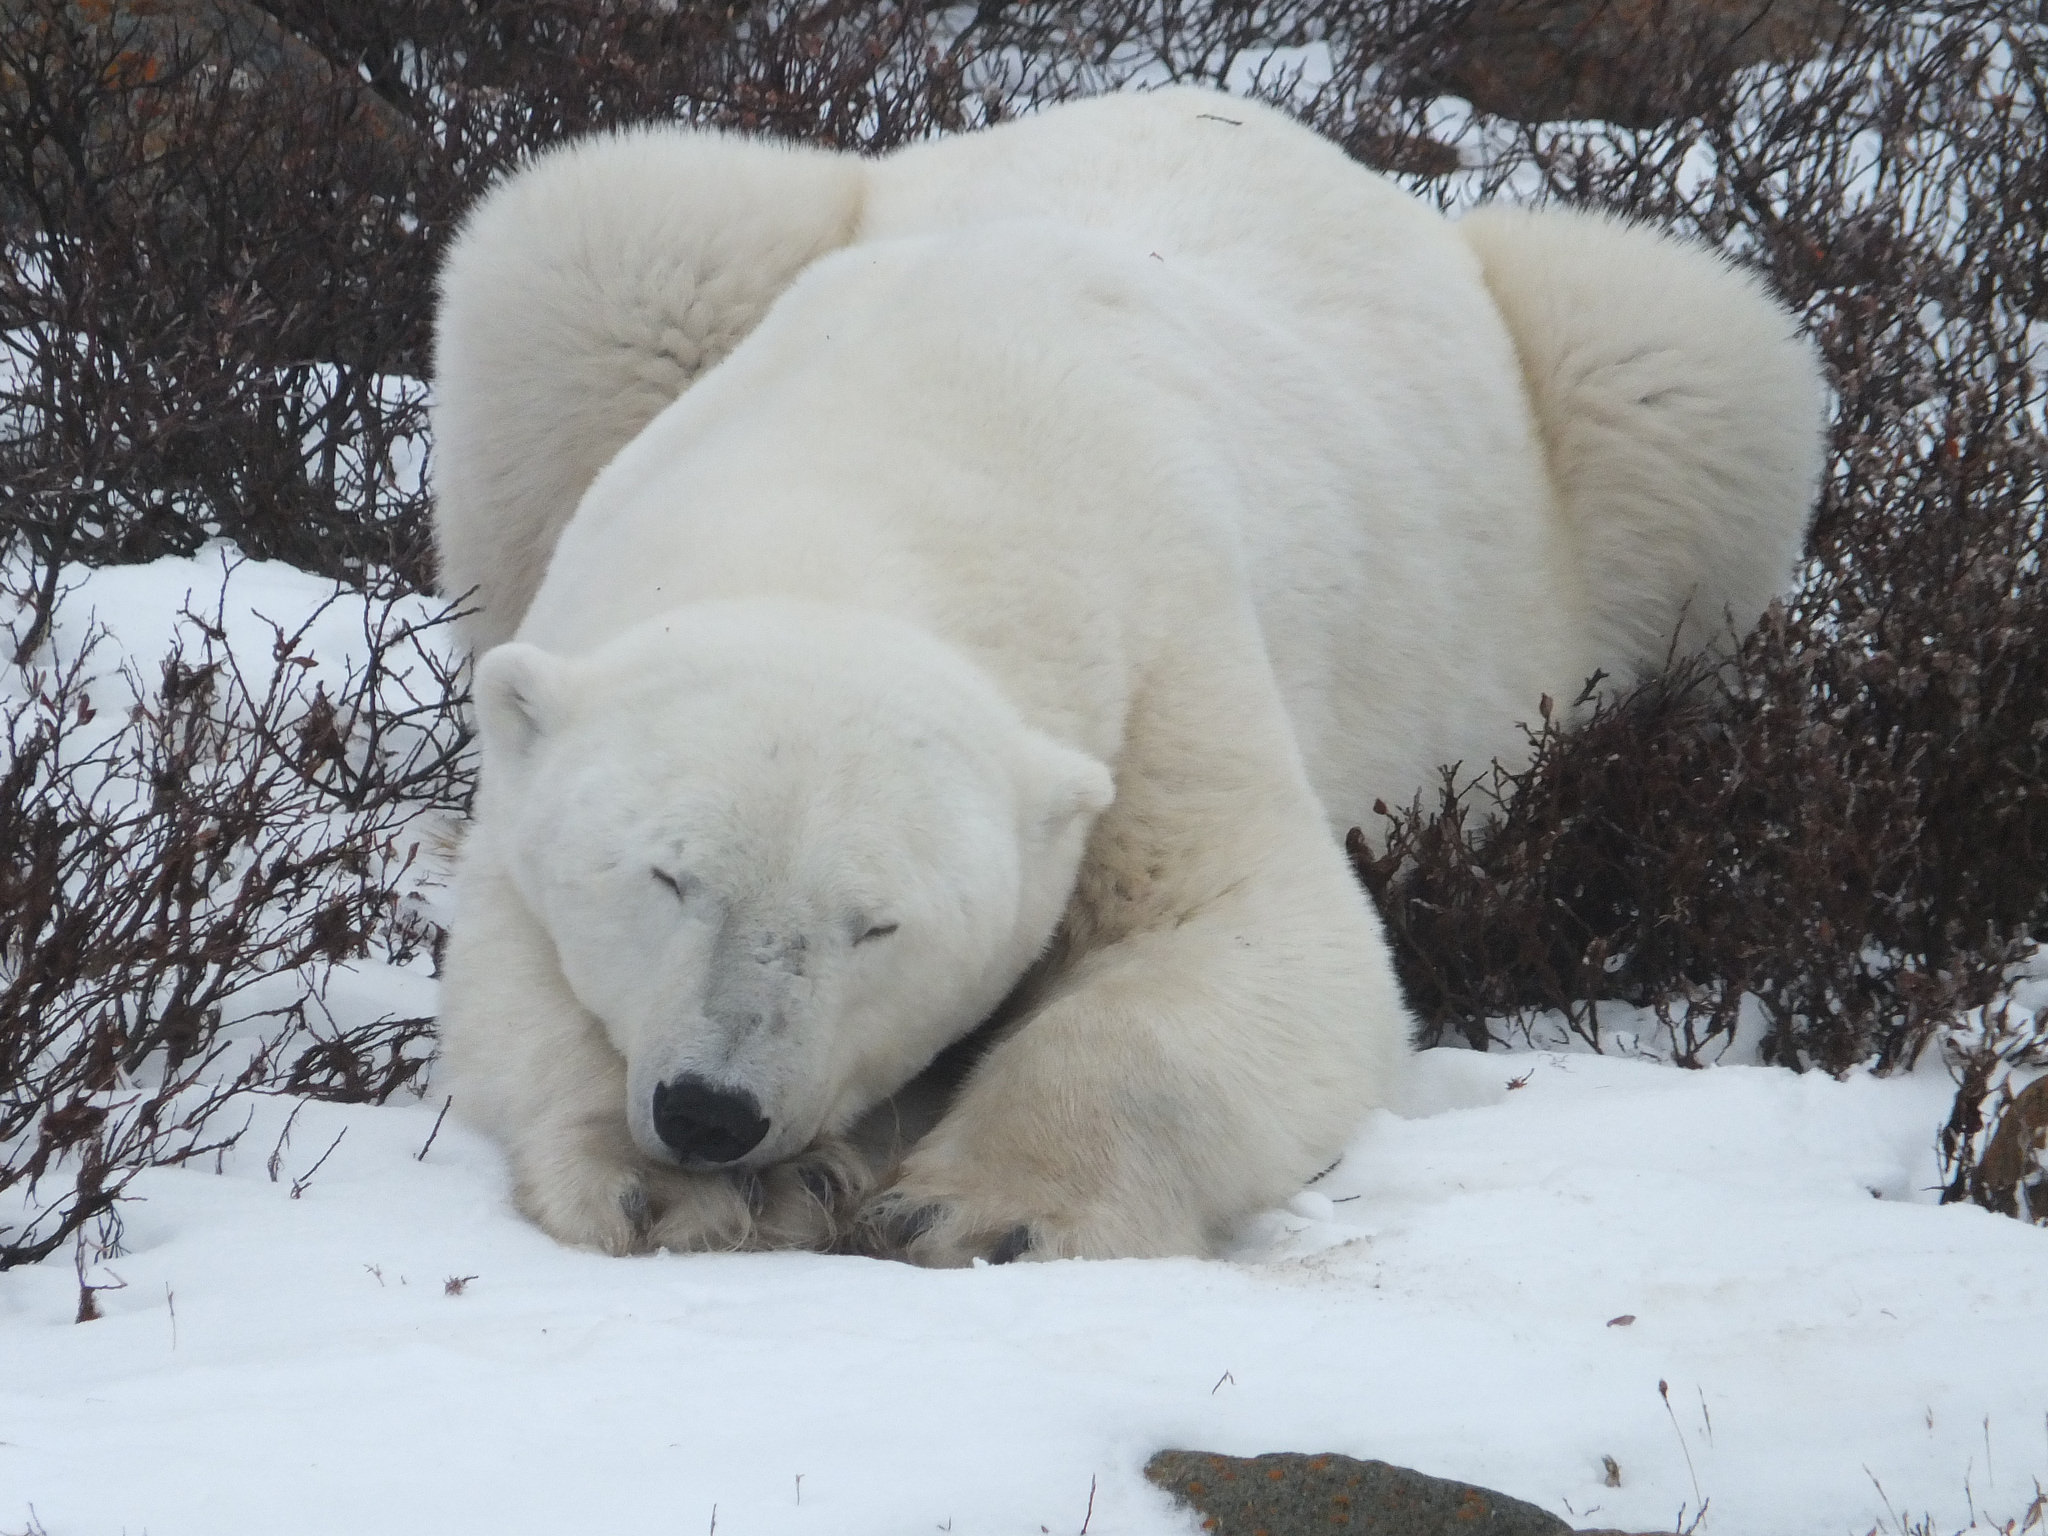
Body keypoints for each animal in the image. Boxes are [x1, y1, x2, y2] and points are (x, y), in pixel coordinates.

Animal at [430, 87, 1821, 1265]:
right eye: (666, 877)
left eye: (877, 923)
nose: (713, 1111)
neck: (890, 459)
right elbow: (505, 949)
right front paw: (675, 1186)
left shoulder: (1163, 649)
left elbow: (1255, 935)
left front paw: (979, 1206)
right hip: (670, 263)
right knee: (588, 234)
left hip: (1610, 425)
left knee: (1691, 368)